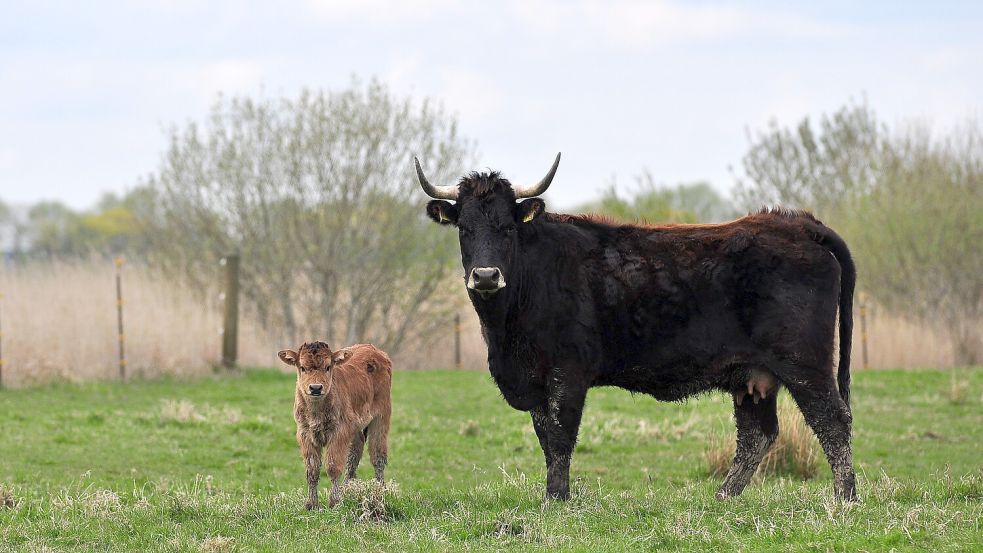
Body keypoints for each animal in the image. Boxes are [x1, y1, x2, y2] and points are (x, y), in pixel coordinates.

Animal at [276, 340, 392, 508]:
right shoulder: (305, 434)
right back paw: (348, 490)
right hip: (356, 428)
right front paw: (311, 504)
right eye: (302, 367)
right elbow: (312, 469)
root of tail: (376, 351)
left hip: (381, 417)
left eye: (328, 367)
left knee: (378, 456)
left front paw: (335, 501)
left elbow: (333, 466)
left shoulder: (339, 433)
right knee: (354, 456)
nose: (315, 388)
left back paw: (380, 492)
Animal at [418, 152, 856, 500]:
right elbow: (546, 437)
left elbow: (560, 437)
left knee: (832, 421)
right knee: (756, 435)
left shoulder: (567, 374)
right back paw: (723, 497)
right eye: (464, 229)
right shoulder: (537, 379)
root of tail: (797, 224)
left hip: (805, 364)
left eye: (508, 227)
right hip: (753, 376)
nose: (485, 276)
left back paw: (845, 500)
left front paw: (556, 501)